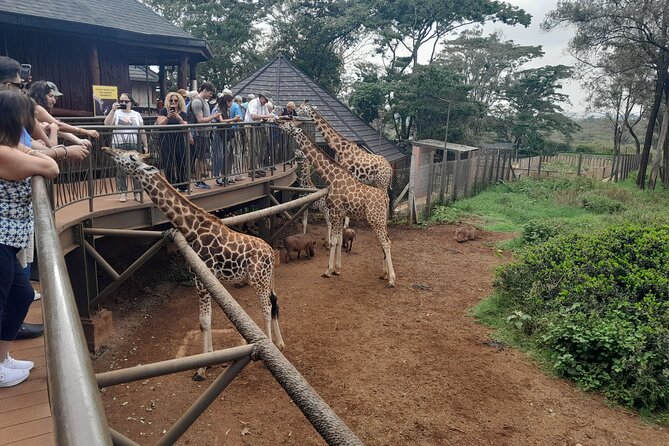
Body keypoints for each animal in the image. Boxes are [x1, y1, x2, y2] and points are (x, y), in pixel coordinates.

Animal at [101, 147, 285, 380]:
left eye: (131, 157)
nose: (106, 149)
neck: (191, 229)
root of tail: (270, 251)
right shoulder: (206, 279)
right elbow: (206, 321)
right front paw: (210, 361)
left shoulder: (200, 279)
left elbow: (204, 322)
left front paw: (201, 369)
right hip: (268, 279)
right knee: (274, 301)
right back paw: (280, 343)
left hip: (258, 280)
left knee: (266, 307)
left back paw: (270, 345)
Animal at [279, 124, 396, 287]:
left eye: (289, 125)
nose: (279, 124)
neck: (331, 177)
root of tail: (385, 199)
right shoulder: (340, 213)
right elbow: (339, 239)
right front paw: (337, 269)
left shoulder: (334, 211)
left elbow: (334, 240)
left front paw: (328, 270)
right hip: (381, 220)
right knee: (386, 240)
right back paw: (383, 274)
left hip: (375, 219)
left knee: (386, 242)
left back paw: (391, 279)